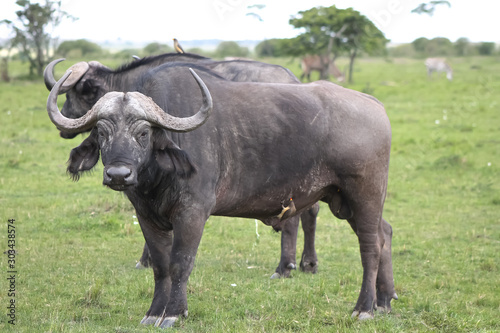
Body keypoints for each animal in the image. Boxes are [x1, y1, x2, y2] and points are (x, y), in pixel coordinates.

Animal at [45, 55, 316, 278]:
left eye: (75, 93)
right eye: (101, 133)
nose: (63, 123)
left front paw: (146, 260)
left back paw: (288, 266)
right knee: (308, 213)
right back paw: (308, 263)